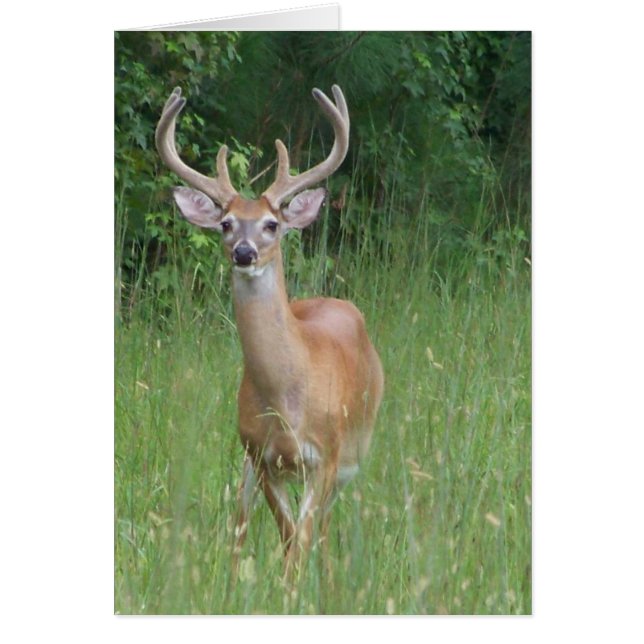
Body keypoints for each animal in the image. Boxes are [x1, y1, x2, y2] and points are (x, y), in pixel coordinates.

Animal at [155, 84, 384, 578]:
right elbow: (287, 536)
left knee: (325, 531)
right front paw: (283, 584)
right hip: (246, 463)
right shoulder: (261, 457)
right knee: (240, 526)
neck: (288, 400)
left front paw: (295, 585)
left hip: (352, 455)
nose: (243, 252)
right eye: (225, 223)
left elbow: (301, 540)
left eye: (272, 224)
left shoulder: (326, 457)